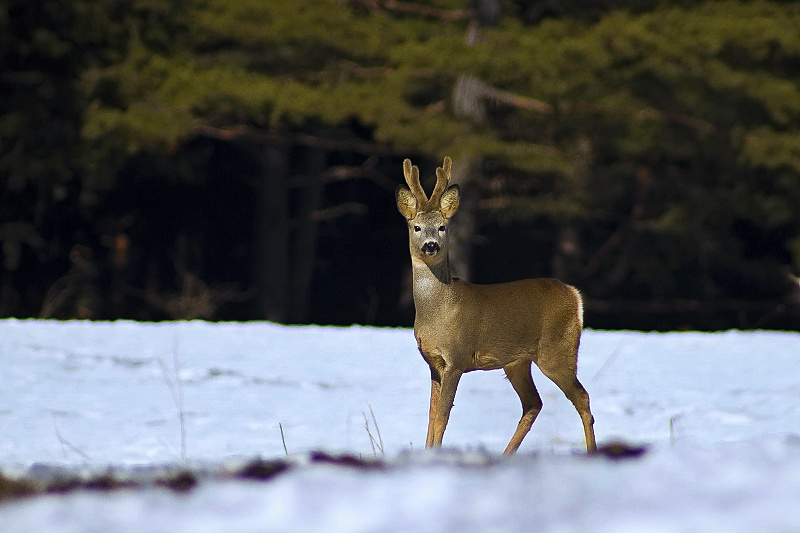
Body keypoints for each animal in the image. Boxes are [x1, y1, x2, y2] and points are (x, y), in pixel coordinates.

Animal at [396, 156, 596, 450]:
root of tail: (573, 294)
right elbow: (431, 417)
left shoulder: (457, 357)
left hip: (558, 350)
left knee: (582, 398)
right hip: (517, 362)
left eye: (443, 227)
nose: (431, 245)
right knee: (533, 403)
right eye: (416, 227)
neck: (439, 312)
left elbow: (442, 417)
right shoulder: (433, 362)